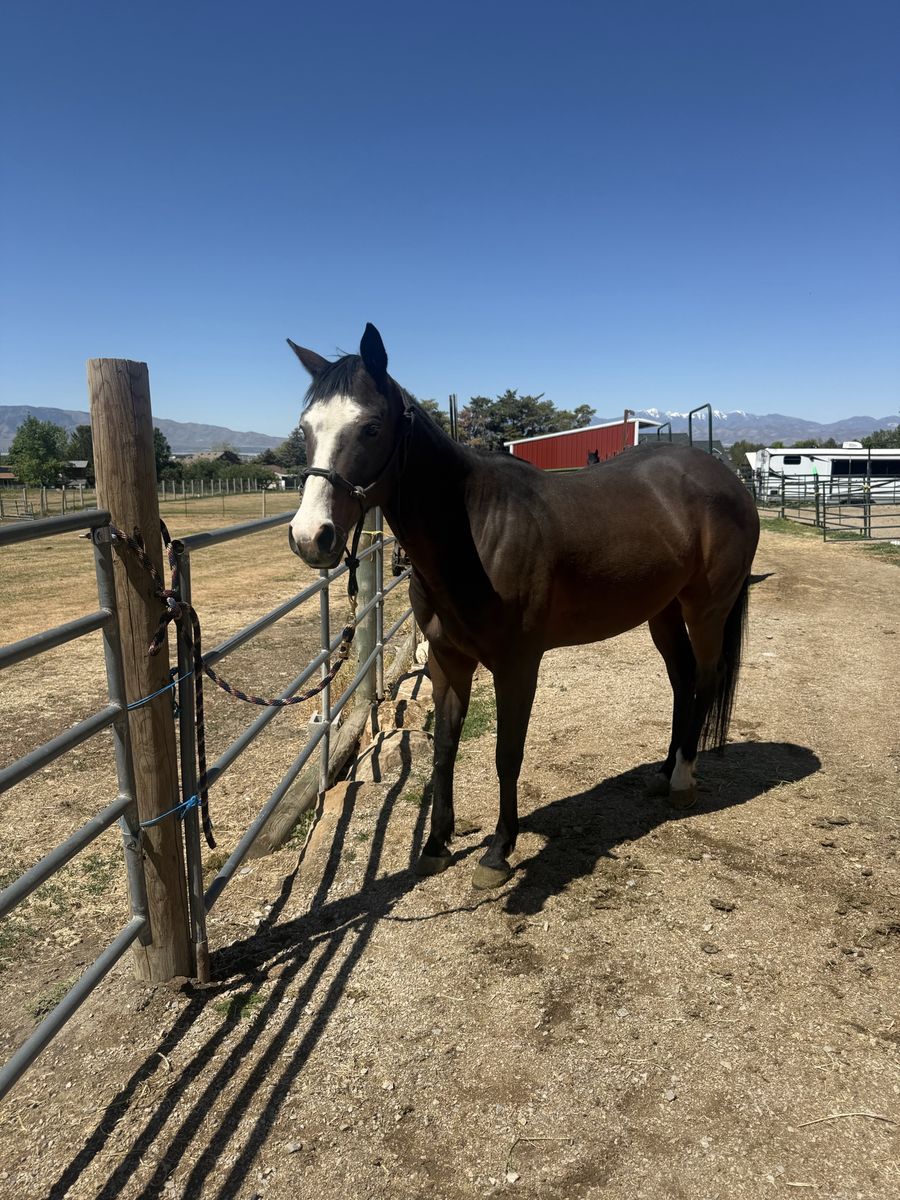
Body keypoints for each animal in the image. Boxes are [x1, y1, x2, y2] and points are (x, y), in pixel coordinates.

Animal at [287, 325, 760, 890]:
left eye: (371, 427)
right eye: (305, 428)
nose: (310, 537)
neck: (475, 531)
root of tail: (726, 478)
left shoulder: (517, 667)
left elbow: (506, 753)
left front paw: (498, 851)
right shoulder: (449, 660)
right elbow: (444, 748)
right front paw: (437, 843)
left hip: (706, 607)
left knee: (707, 678)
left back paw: (684, 779)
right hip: (662, 611)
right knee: (683, 679)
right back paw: (664, 772)